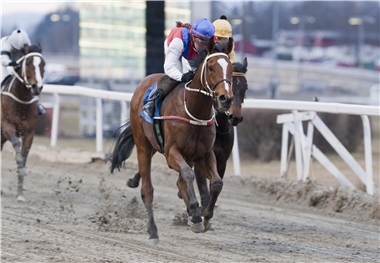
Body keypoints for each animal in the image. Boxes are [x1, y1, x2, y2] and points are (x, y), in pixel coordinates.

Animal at [0, 43, 45, 202]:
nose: (37, 87)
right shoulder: (7, 128)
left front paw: (20, 193)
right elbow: (16, 145)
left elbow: (24, 155)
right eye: (28, 63)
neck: (21, 103)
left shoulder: (29, 133)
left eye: (43, 64)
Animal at [110, 37, 235, 243]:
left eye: (232, 68)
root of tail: (143, 82)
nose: (226, 99)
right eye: (210, 67)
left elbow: (217, 183)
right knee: (147, 190)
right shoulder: (172, 153)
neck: (194, 110)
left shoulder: (205, 155)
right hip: (143, 145)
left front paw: (206, 216)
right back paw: (153, 231)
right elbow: (187, 174)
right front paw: (195, 213)